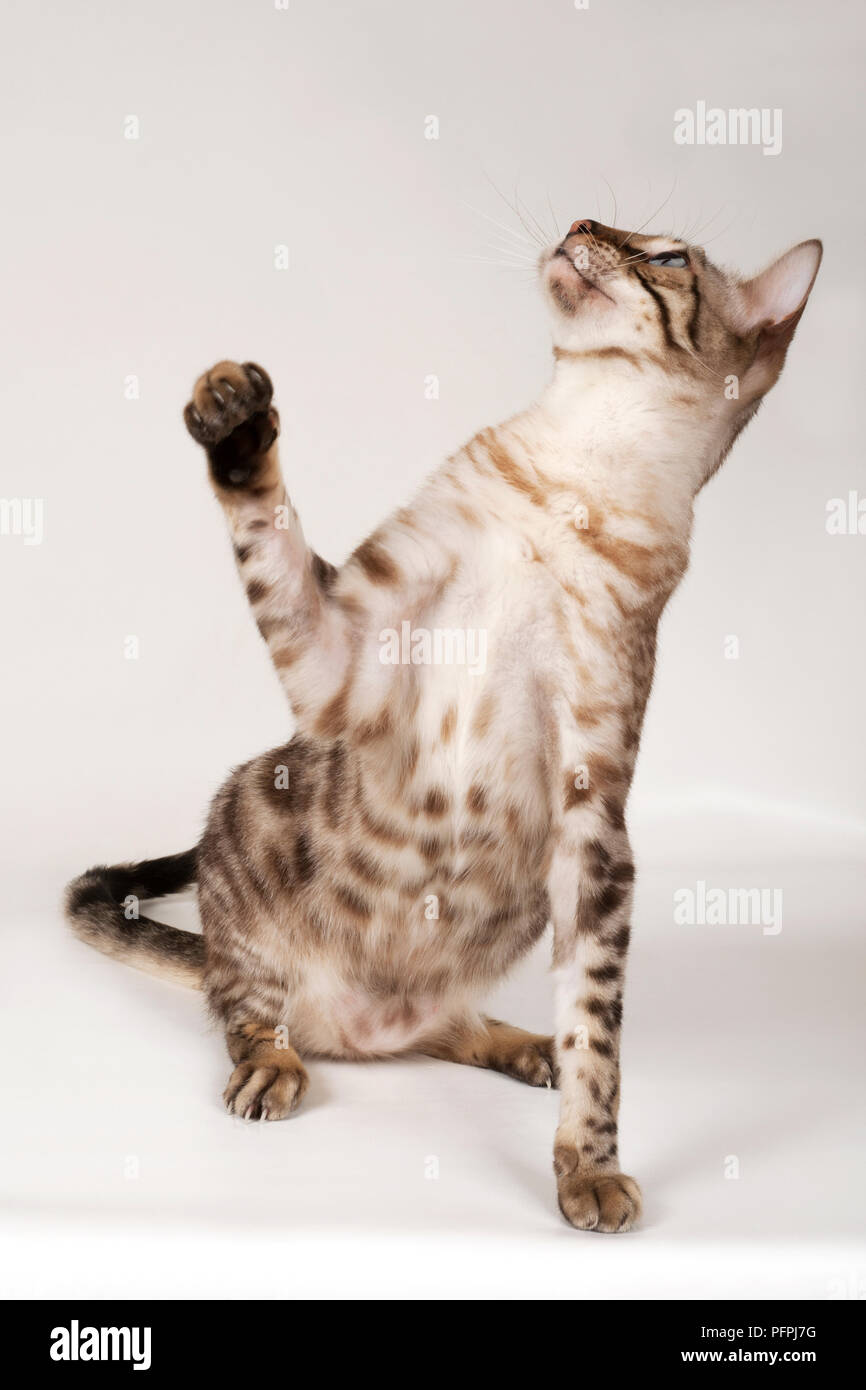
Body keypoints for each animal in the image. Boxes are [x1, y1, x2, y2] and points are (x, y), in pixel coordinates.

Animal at [66, 214, 817, 1228]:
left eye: (667, 258)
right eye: (604, 225)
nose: (581, 225)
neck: (575, 471)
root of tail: (355, 1030)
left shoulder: (594, 811)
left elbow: (598, 1030)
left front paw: (587, 1168)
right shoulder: (342, 668)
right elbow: (267, 524)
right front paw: (236, 419)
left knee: (443, 1028)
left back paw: (523, 1046)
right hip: (252, 804)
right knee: (245, 1011)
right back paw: (274, 1062)